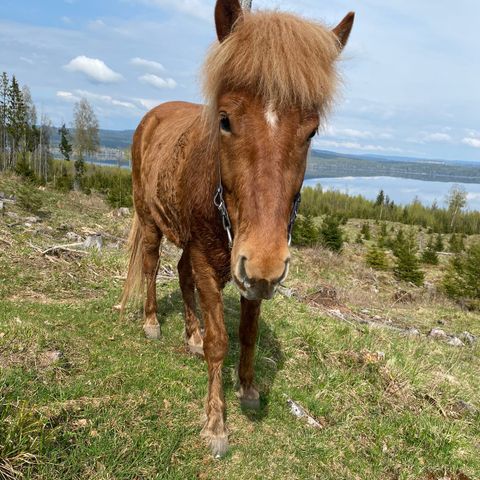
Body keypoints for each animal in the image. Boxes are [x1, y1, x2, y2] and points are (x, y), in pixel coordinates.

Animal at [120, 0, 352, 458]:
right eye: (225, 120)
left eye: (312, 130)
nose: (265, 260)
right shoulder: (215, 265)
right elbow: (220, 342)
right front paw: (216, 423)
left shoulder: (247, 276)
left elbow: (248, 334)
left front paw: (247, 389)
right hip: (151, 222)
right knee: (153, 267)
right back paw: (153, 322)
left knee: (182, 276)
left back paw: (190, 333)